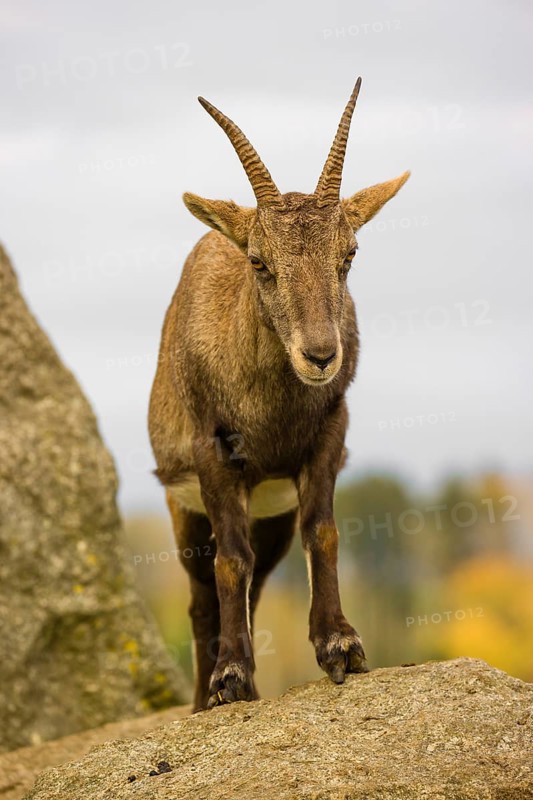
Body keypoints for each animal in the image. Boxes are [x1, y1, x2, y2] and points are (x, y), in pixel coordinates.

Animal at [148, 78, 409, 711]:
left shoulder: (328, 434)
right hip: (183, 506)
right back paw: (204, 697)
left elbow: (323, 531)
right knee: (201, 595)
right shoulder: (213, 454)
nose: (320, 355)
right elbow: (229, 561)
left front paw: (340, 645)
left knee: (258, 583)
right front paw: (230, 678)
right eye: (258, 261)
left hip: (270, 510)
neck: (270, 415)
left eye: (349, 254)